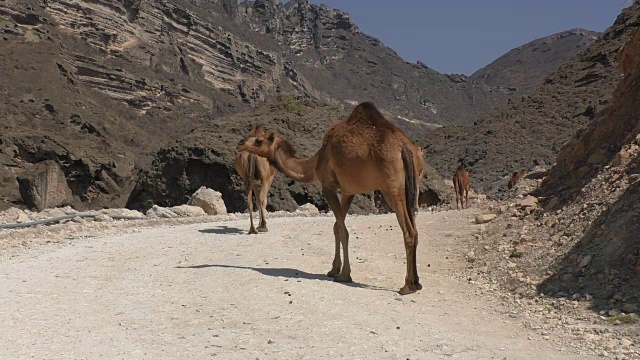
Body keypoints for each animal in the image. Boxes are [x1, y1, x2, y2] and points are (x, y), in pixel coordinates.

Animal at [238, 102, 428, 296]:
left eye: (259, 140)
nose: (240, 143)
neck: (315, 163)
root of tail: (405, 148)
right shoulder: (348, 191)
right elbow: (337, 227)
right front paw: (333, 269)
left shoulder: (328, 186)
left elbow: (343, 230)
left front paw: (345, 274)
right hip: (411, 186)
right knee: (415, 228)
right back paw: (417, 283)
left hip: (392, 187)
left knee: (409, 231)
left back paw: (406, 286)